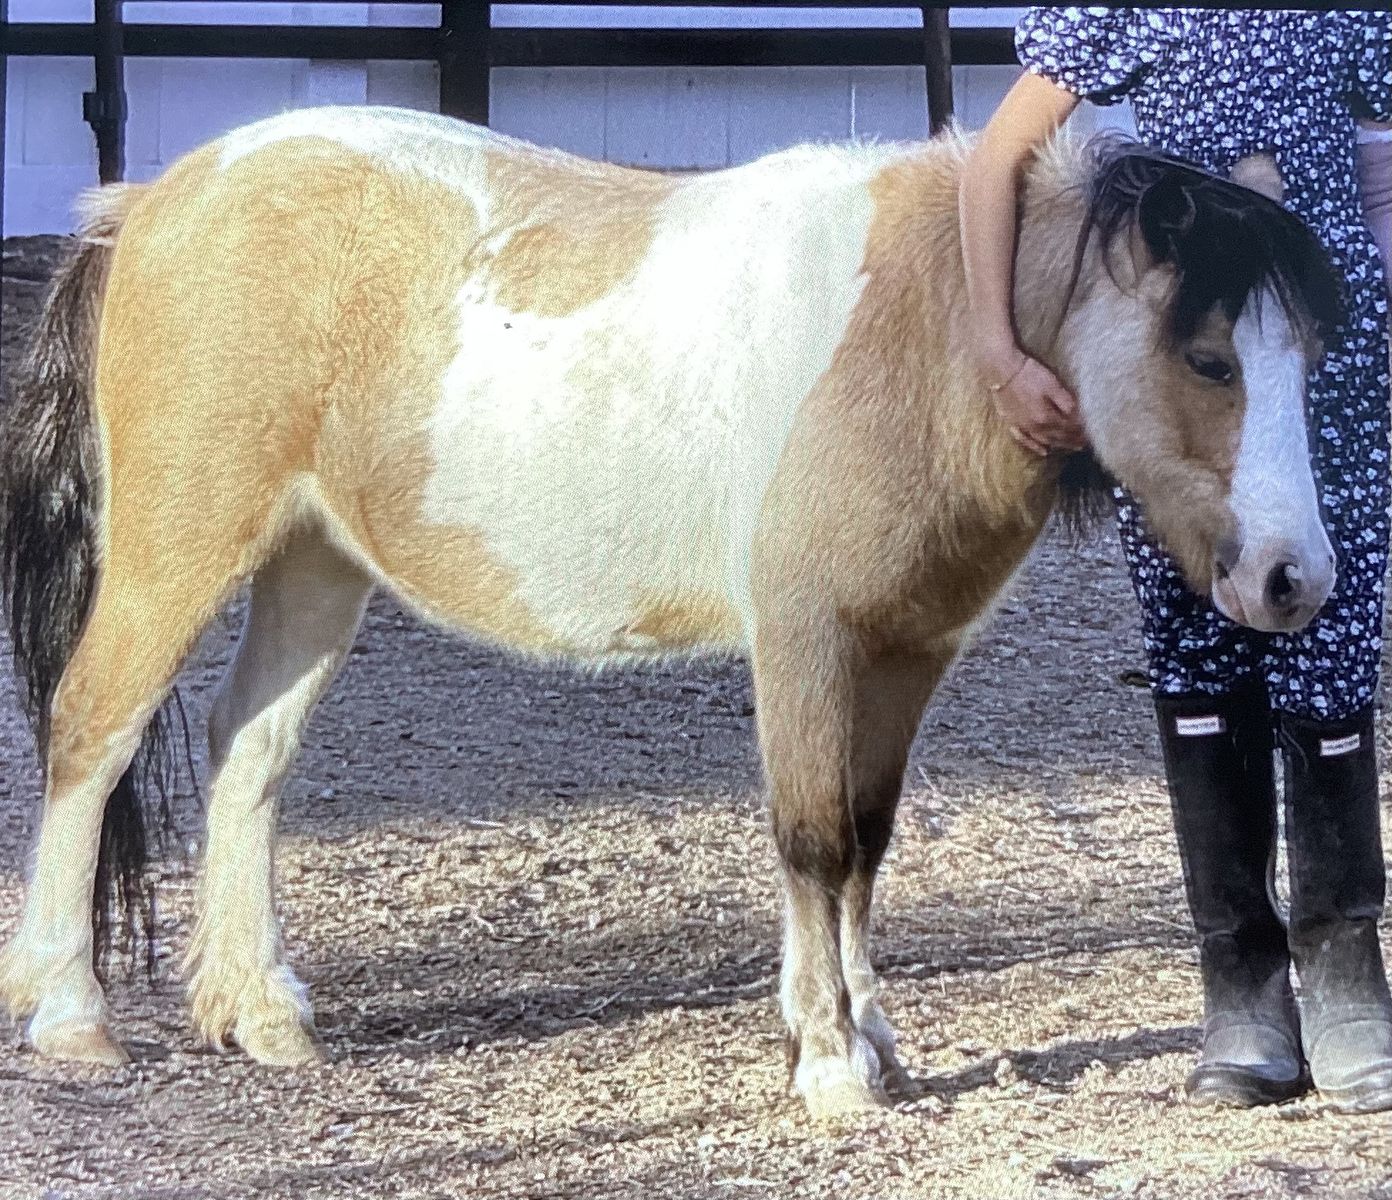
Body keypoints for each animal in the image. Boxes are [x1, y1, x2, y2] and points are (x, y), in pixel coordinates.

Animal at [0, 107, 1341, 1118]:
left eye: (1308, 359)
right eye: (1209, 359)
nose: (1296, 579)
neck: (918, 324)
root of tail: (153, 201)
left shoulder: (902, 654)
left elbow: (866, 840)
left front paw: (875, 1036)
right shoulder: (806, 642)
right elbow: (813, 840)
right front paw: (831, 1064)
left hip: (314, 560)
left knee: (249, 750)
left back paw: (262, 1012)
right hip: (182, 548)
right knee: (94, 725)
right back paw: (71, 1015)